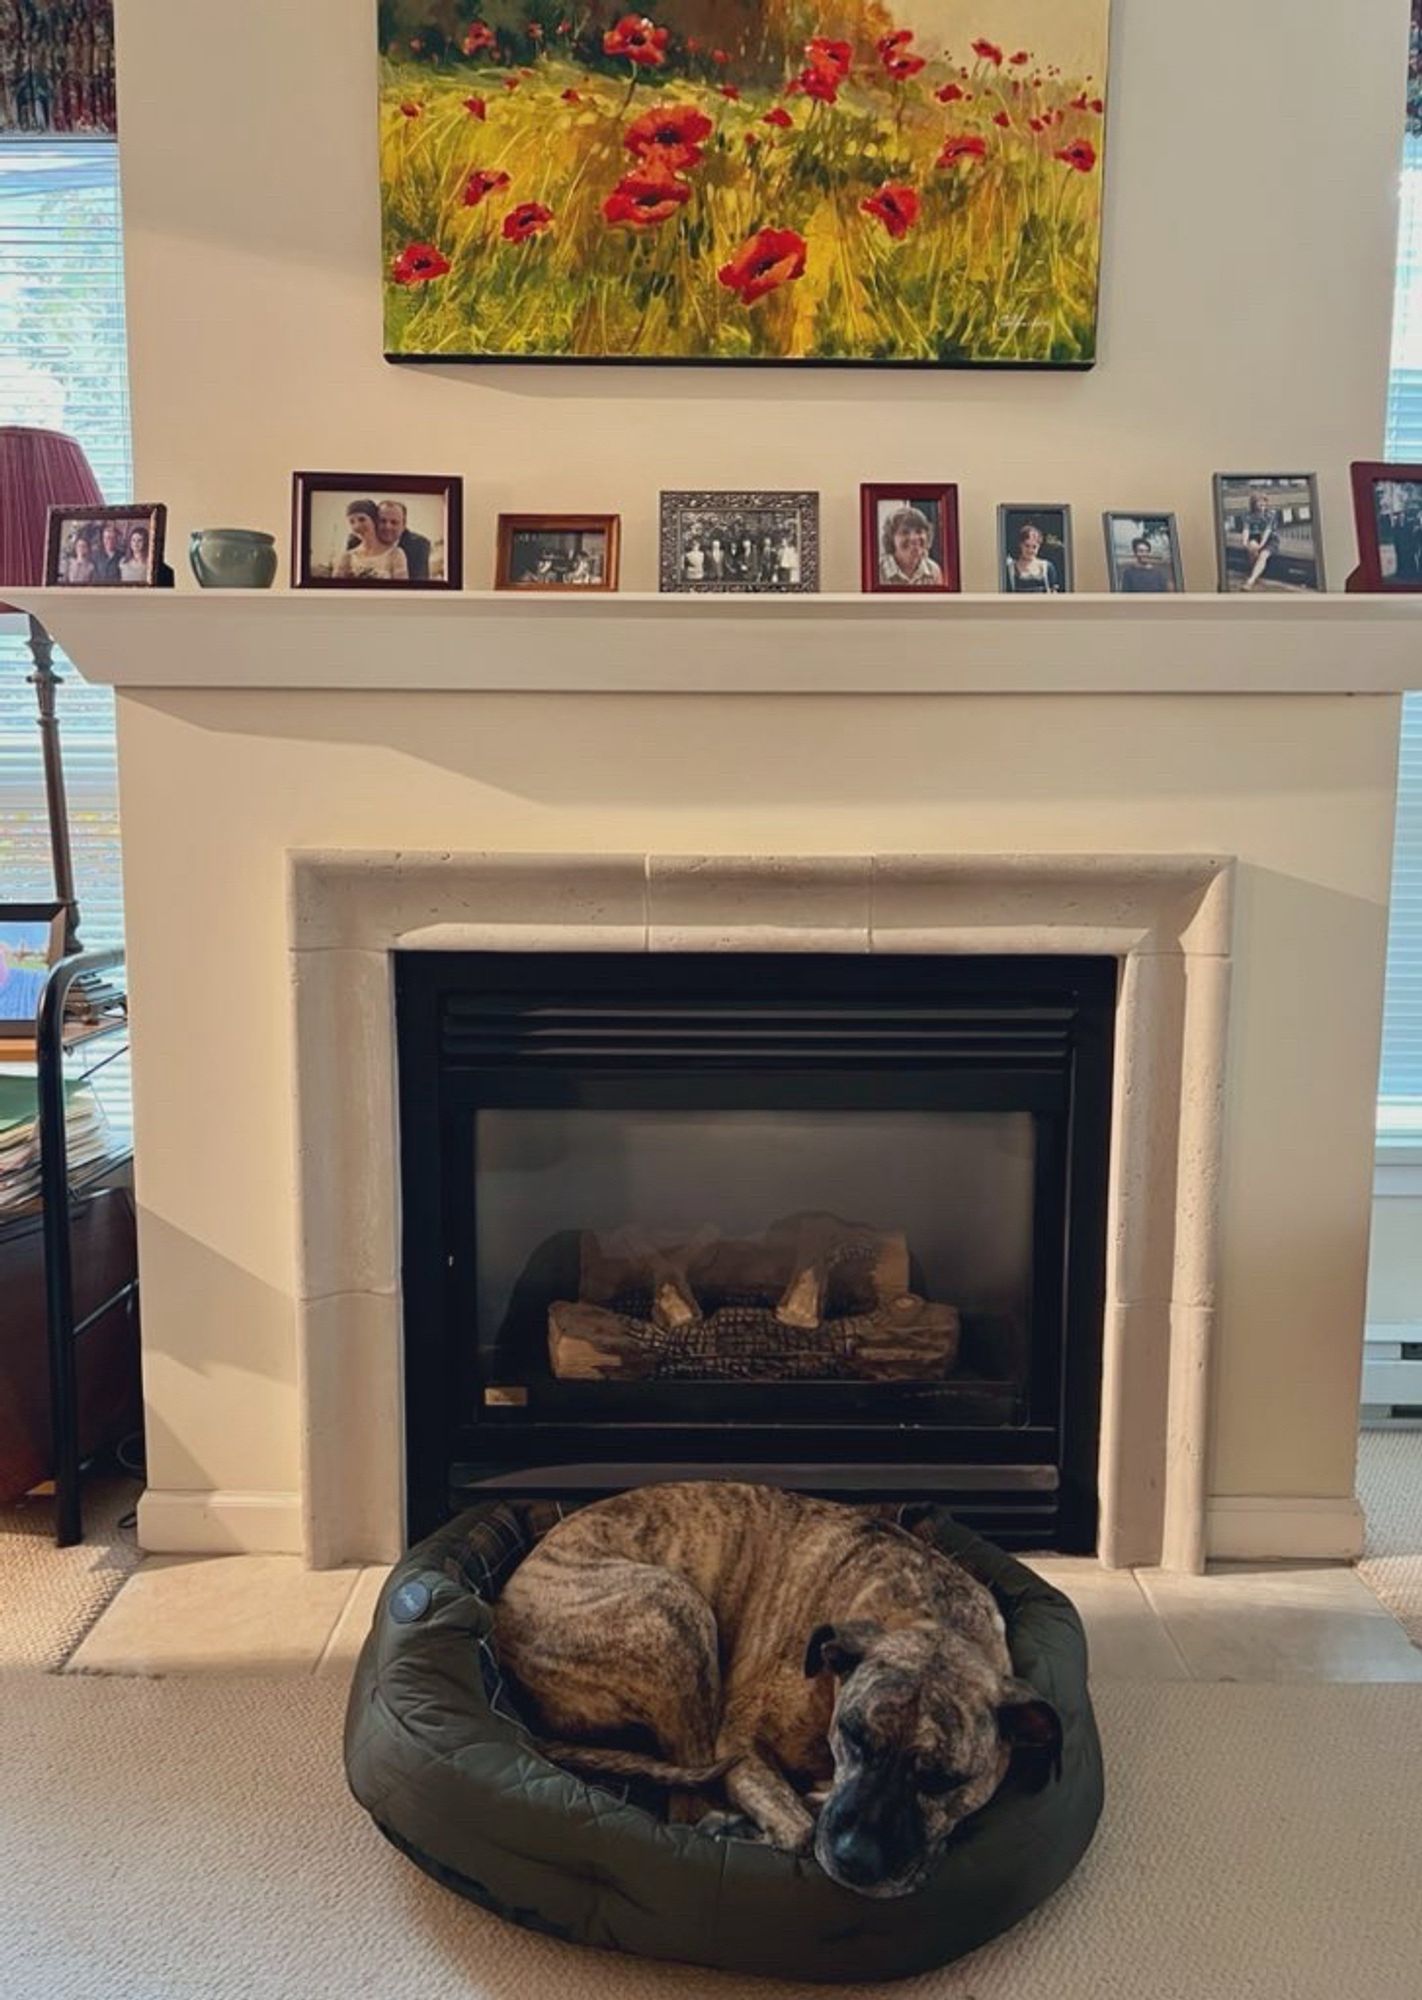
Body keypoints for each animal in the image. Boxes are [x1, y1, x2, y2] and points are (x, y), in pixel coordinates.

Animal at [496, 1488, 1064, 1888]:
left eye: (944, 1780)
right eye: (853, 1737)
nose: (855, 1858)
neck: (929, 1616)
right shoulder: (739, 1744)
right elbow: (799, 1829)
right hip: (675, 1612)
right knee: (687, 1804)